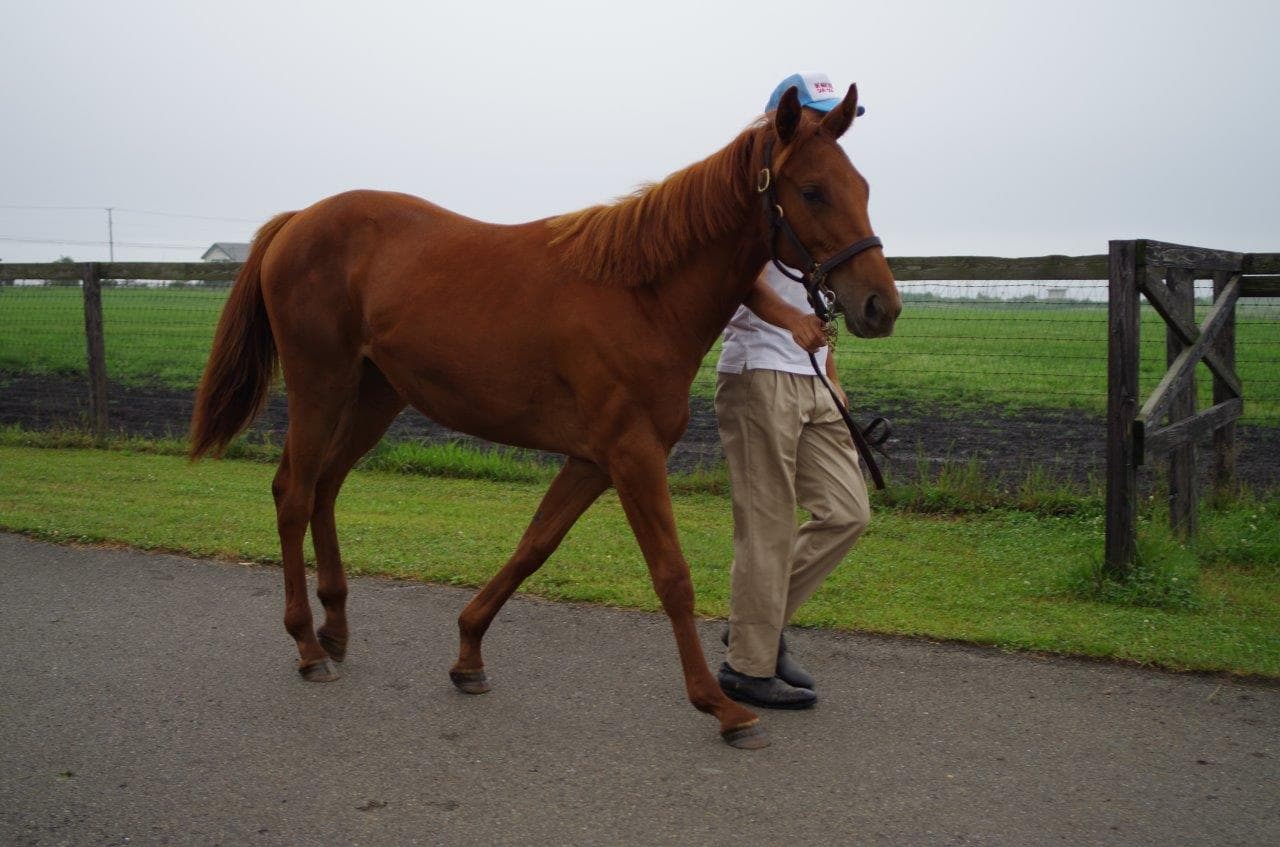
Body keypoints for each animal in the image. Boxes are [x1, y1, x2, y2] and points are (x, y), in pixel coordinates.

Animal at [194, 86, 906, 752]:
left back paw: (335, 629)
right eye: (812, 191)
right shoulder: (633, 456)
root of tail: (298, 220)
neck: (642, 296)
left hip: (374, 396)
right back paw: (308, 647)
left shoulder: (593, 460)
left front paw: (468, 654)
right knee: (293, 492)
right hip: (321, 386)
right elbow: (671, 576)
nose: (881, 306)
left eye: (863, 187)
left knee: (325, 488)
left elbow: (534, 546)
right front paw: (721, 706)